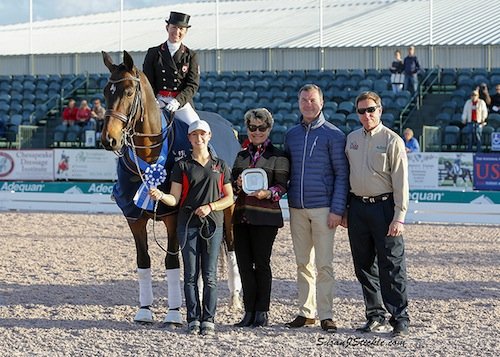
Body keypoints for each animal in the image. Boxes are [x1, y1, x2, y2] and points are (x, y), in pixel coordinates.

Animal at [99, 50, 240, 326]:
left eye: (129, 92)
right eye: (105, 93)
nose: (109, 140)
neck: (150, 154)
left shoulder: (174, 217)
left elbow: (172, 260)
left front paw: (173, 314)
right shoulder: (134, 218)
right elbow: (143, 260)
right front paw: (144, 310)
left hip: (229, 208)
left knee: (230, 245)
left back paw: (235, 299)